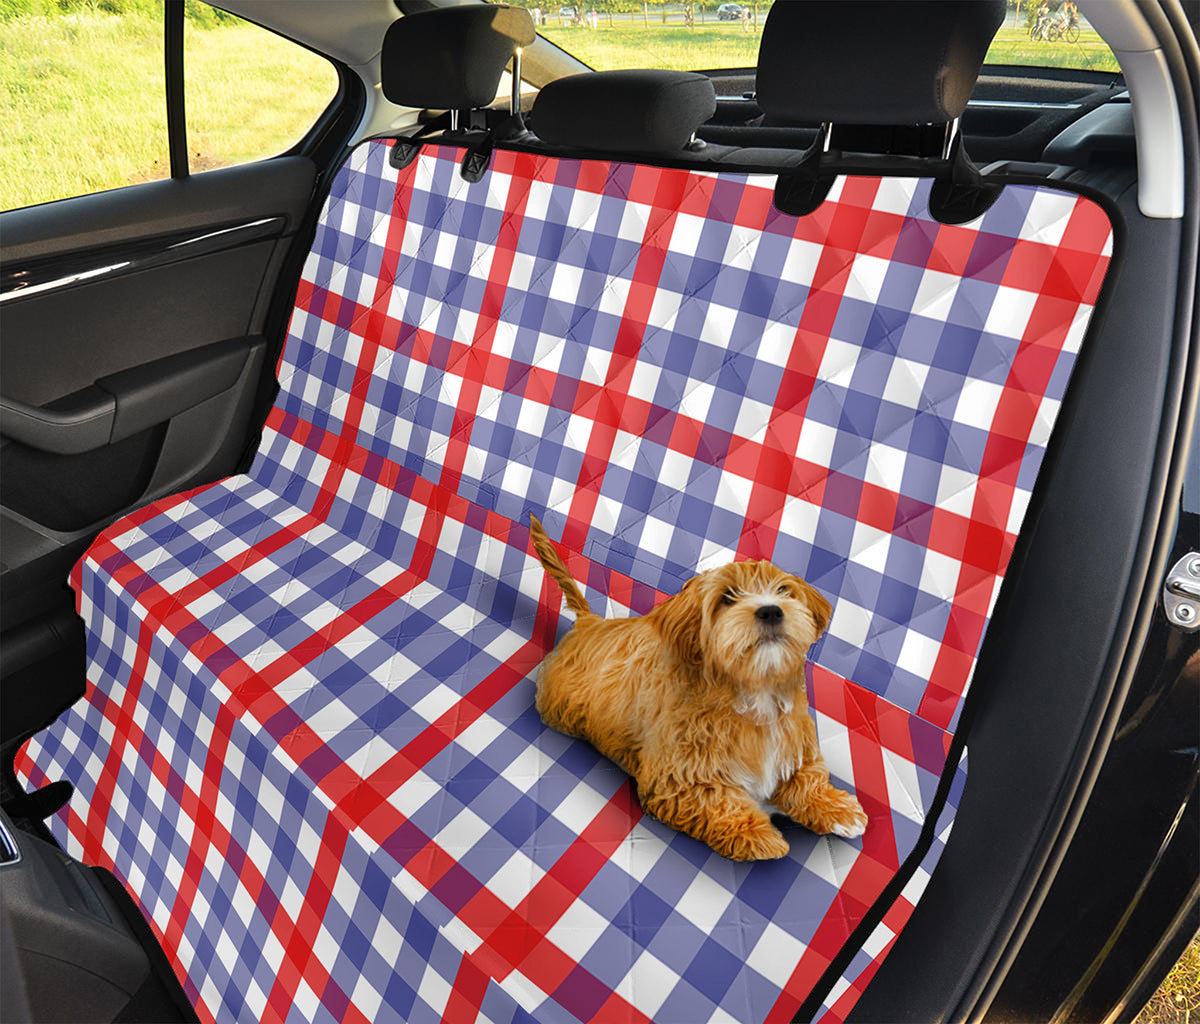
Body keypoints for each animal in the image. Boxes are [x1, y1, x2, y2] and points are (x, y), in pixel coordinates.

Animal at [530, 516, 868, 859]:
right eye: (727, 598)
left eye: (784, 590)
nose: (772, 610)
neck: (753, 694)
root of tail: (591, 623)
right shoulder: (677, 778)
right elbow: (717, 800)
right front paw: (756, 834)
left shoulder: (794, 747)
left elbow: (808, 777)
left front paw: (837, 808)